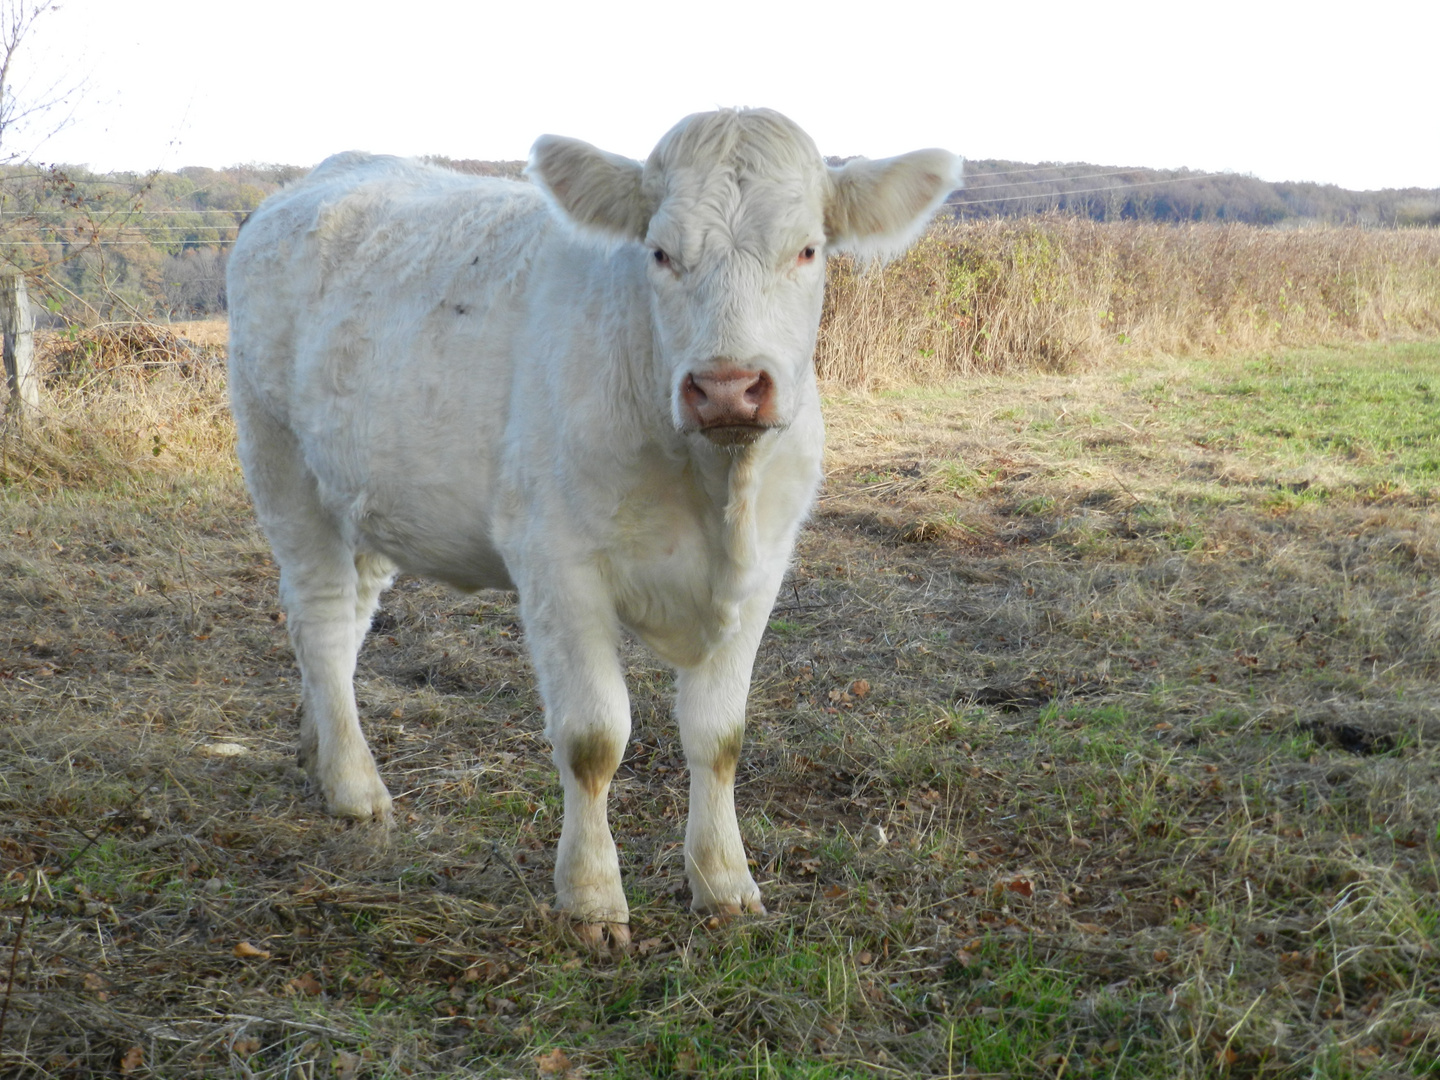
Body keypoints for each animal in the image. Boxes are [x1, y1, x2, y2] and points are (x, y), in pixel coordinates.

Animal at [227, 110, 956, 950]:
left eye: (806, 249)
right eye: (661, 253)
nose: (727, 387)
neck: (715, 486)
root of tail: (319, 177)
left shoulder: (763, 569)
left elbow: (720, 736)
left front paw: (725, 882)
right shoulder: (557, 564)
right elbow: (594, 739)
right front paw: (592, 897)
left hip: (368, 493)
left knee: (346, 626)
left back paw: (319, 749)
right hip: (281, 464)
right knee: (316, 618)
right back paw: (352, 784)